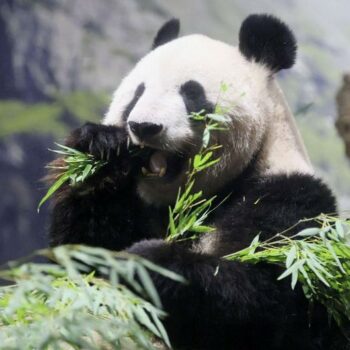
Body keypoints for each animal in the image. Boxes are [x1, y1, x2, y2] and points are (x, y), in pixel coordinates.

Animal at [47, 14, 348, 350]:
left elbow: (276, 300)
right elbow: (76, 260)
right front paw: (101, 148)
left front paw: (148, 261)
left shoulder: (291, 201)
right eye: (138, 92)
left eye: (191, 94)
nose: (144, 126)